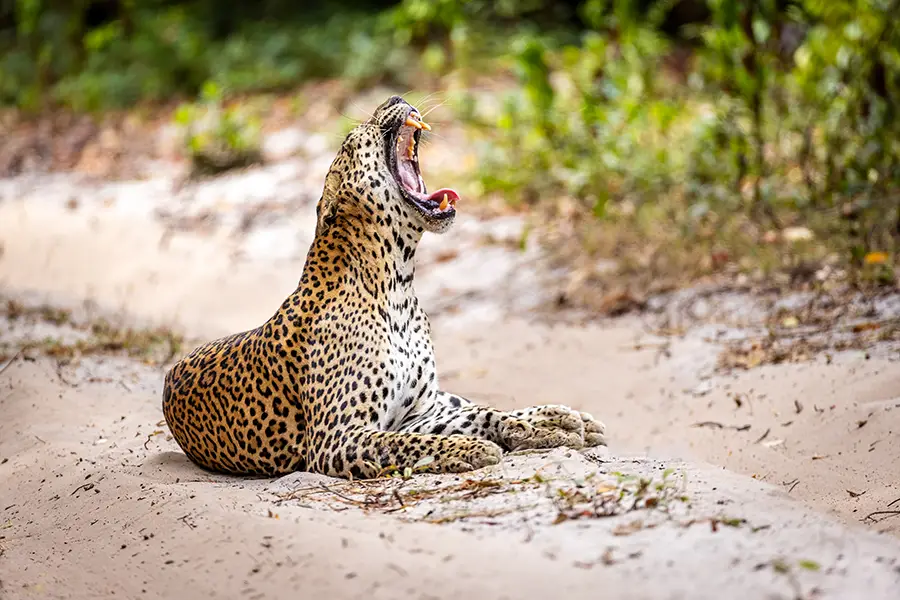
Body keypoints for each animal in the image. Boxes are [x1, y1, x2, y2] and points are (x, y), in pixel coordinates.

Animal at [162, 95, 607, 479]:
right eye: (352, 140)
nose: (394, 97)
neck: (398, 284)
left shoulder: (423, 410)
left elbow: (480, 414)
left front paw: (545, 426)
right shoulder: (339, 437)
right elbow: (409, 444)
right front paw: (471, 449)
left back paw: (565, 419)